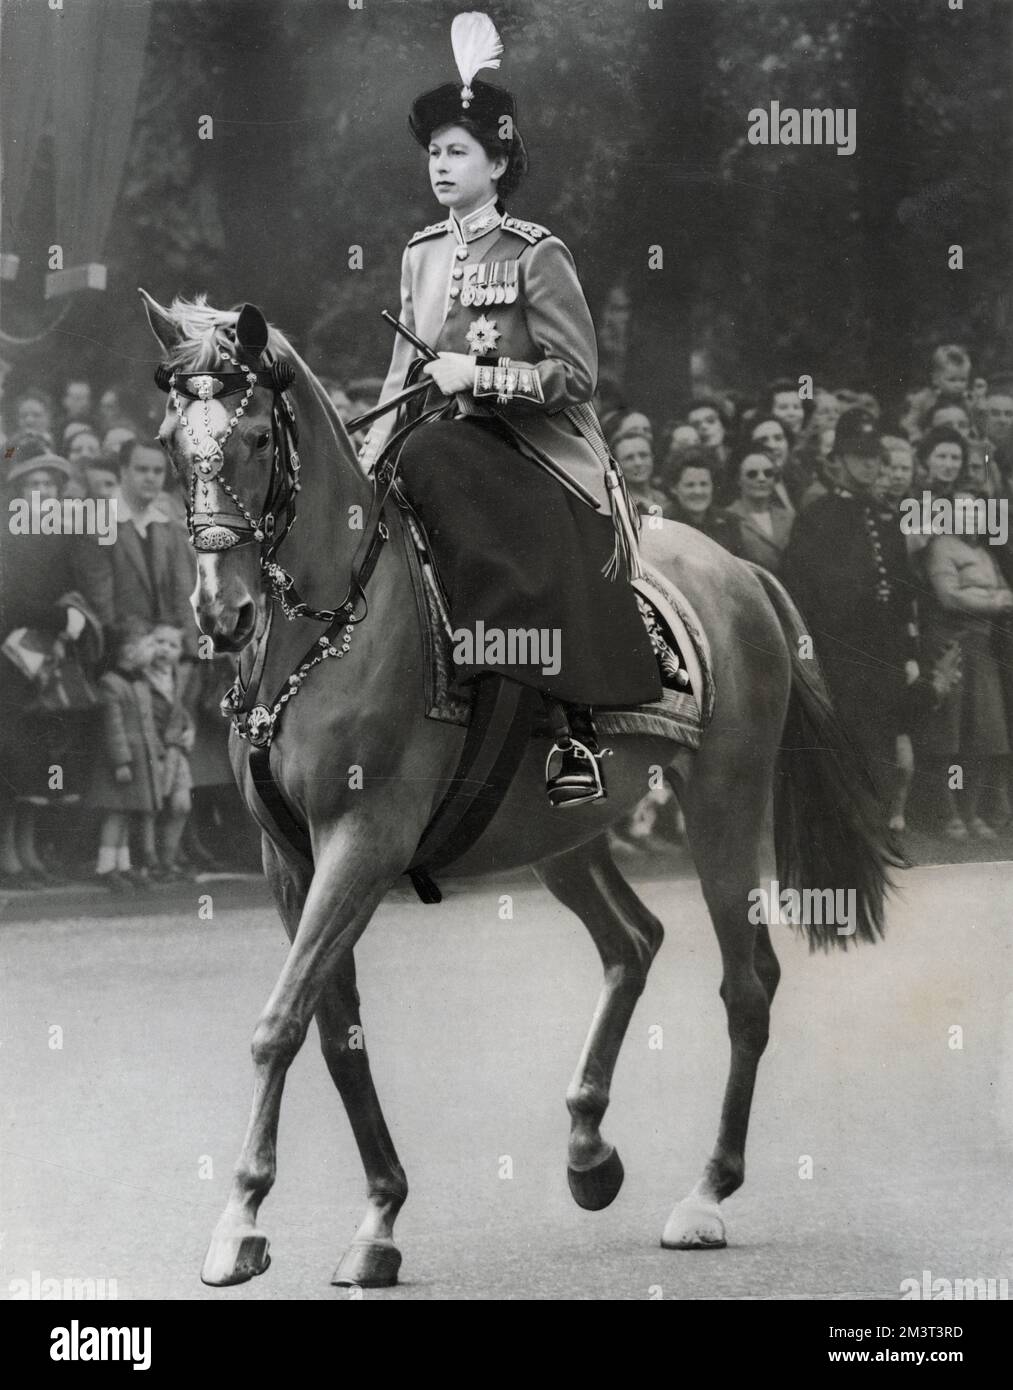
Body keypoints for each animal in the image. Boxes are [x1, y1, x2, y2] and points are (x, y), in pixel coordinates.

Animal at [140, 287, 894, 1284]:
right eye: (167, 439)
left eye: (259, 436)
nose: (219, 612)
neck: (329, 626)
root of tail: (738, 568)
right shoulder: (288, 861)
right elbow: (332, 1033)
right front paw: (377, 1216)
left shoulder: (363, 842)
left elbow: (279, 1022)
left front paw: (240, 1220)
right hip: (552, 833)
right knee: (633, 943)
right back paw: (588, 1149)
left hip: (722, 803)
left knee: (746, 982)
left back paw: (705, 1193)